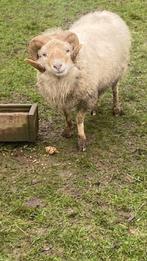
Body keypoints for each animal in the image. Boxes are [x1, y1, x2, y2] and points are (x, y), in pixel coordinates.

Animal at [26, 11, 131, 151]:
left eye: (67, 50)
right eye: (44, 54)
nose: (58, 66)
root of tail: (105, 12)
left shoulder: (85, 97)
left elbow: (79, 118)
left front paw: (81, 140)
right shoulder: (63, 98)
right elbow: (67, 115)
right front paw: (68, 131)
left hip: (118, 70)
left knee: (115, 90)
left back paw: (116, 109)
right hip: (100, 78)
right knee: (99, 91)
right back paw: (94, 108)